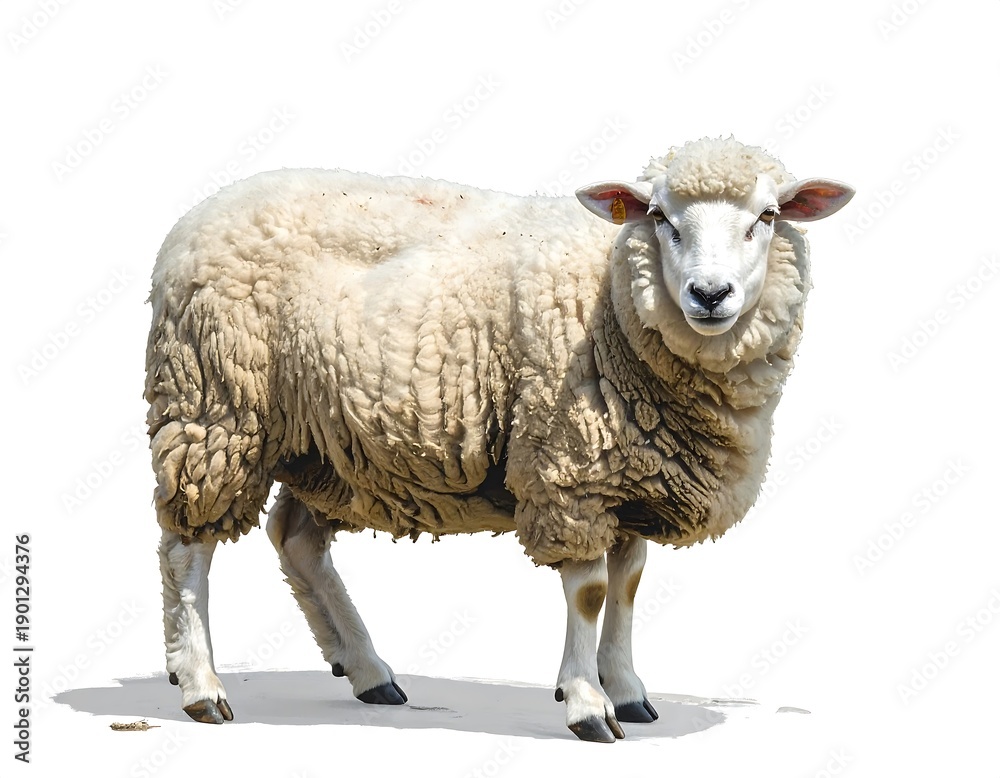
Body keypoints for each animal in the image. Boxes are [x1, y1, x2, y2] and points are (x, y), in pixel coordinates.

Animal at [146, 136, 854, 742]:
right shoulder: (570, 468)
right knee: (187, 549)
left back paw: (368, 671)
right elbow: (591, 591)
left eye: (767, 216)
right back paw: (201, 686)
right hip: (214, 410)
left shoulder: (629, 475)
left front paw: (627, 690)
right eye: (659, 216)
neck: (612, 296)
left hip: (330, 446)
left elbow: (627, 584)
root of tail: (197, 215)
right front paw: (586, 704)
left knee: (296, 540)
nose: (709, 293)